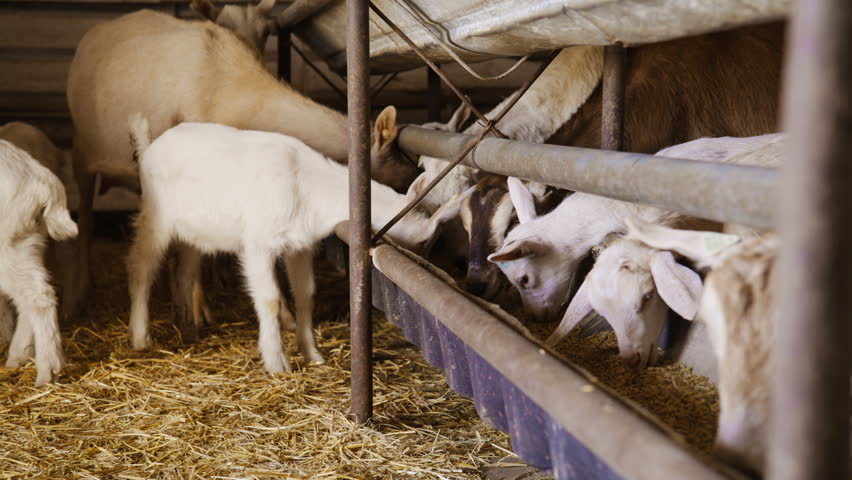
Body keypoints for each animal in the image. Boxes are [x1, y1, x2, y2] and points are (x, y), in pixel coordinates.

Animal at [0, 140, 77, 386]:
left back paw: (47, 372)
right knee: (31, 296)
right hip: (28, 242)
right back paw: (18, 356)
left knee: (39, 297)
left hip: (8, 245)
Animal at [126, 118, 462, 374]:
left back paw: (187, 326)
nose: (444, 276)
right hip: (155, 217)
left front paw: (312, 354)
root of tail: (149, 147)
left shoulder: (301, 244)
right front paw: (277, 362)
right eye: (428, 240)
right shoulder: (258, 243)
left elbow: (306, 295)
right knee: (142, 269)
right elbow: (270, 299)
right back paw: (141, 336)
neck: (307, 185)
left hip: (196, 231)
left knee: (184, 271)